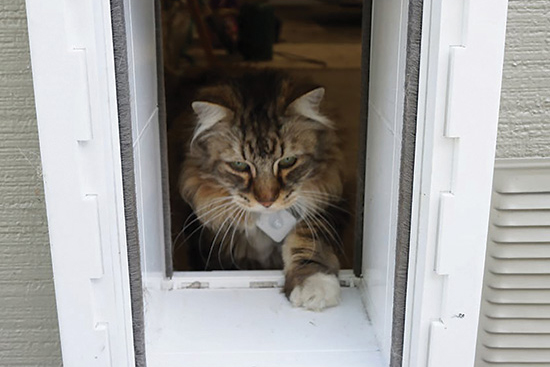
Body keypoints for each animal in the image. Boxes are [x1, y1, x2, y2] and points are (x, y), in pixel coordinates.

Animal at [170, 69, 348, 310]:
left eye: (288, 161)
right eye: (239, 165)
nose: (267, 201)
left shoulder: (325, 204)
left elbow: (306, 238)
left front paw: (314, 287)